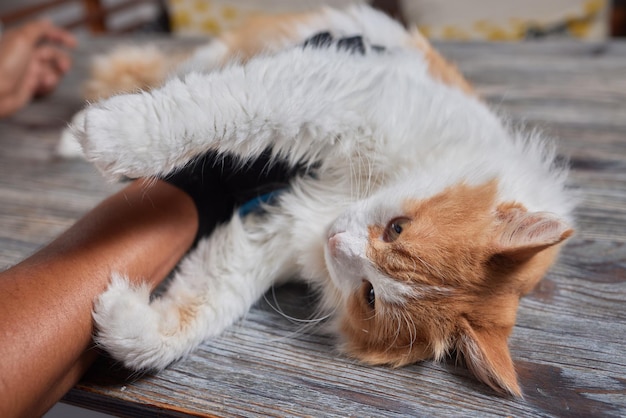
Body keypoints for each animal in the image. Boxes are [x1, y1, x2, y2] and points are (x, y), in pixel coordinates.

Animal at [68, 4, 572, 396]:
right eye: (398, 227)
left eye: (370, 296)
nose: (337, 242)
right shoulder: (333, 93)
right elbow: (214, 112)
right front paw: (112, 137)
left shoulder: (270, 230)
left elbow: (201, 305)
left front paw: (124, 323)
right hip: (234, 52)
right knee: (173, 73)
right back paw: (75, 134)